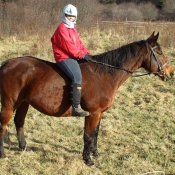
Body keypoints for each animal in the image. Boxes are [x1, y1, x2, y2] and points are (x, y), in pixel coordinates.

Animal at [0, 31, 174, 165]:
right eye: (159, 52)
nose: (170, 73)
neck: (104, 74)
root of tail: (7, 63)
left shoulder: (100, 113)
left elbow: (95, 134)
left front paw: (96, 154)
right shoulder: (93, 113)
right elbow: (88, 135)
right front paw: (88, 159)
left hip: (23, 103)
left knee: (19, 122)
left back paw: (24, 147)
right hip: (9, 104)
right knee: (3, 125)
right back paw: (3, 154)